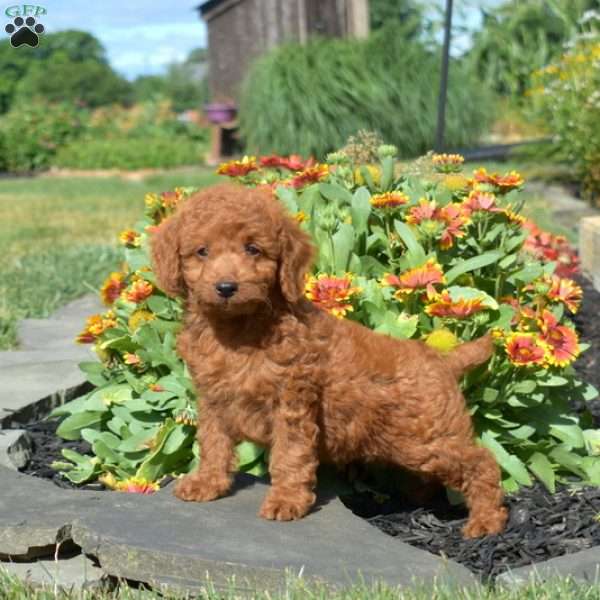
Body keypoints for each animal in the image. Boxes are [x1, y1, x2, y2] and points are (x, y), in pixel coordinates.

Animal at [150, 183, 506, 540]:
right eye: (202, 252)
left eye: (253, 249)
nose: (225, 287)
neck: (237, 330)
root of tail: (442, 360)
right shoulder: (213, 400)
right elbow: (214, 444)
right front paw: (207, 482)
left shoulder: (292, 402)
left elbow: (290, 455)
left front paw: (286, 501)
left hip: (428, 438)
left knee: (481, 463)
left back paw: (487, 521)